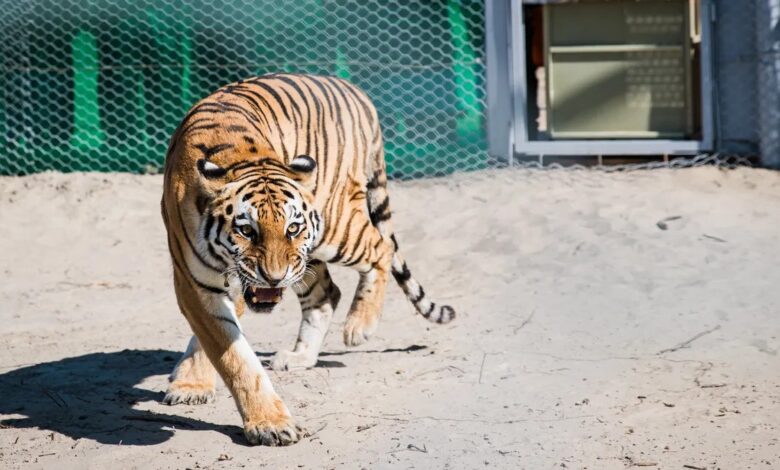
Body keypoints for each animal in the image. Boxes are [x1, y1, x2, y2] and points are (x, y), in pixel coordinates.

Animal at [160, 73, 455, 446]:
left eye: (292, 227)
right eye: (247, 230)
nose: (273, 277)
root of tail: (355, 91)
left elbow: (230, 354)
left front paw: (268, 424)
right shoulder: (196, 283)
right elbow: (229, 352)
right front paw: (196, 386)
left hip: (334, 228)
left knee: (381, 248)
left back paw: (360, 326)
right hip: (307, 257)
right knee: (327, 292)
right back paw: (301, 356)